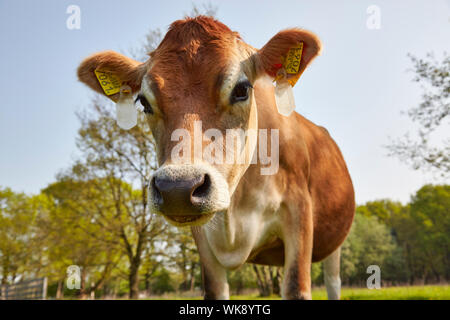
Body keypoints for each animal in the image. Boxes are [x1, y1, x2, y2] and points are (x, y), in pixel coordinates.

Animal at [77, 15, 354, 300]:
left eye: (241, 89)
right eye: (143, 102)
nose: (177, 188)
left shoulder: (298, 211)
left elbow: (296, 287)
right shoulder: (203, 241)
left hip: (335, 243)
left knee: (333, 282)